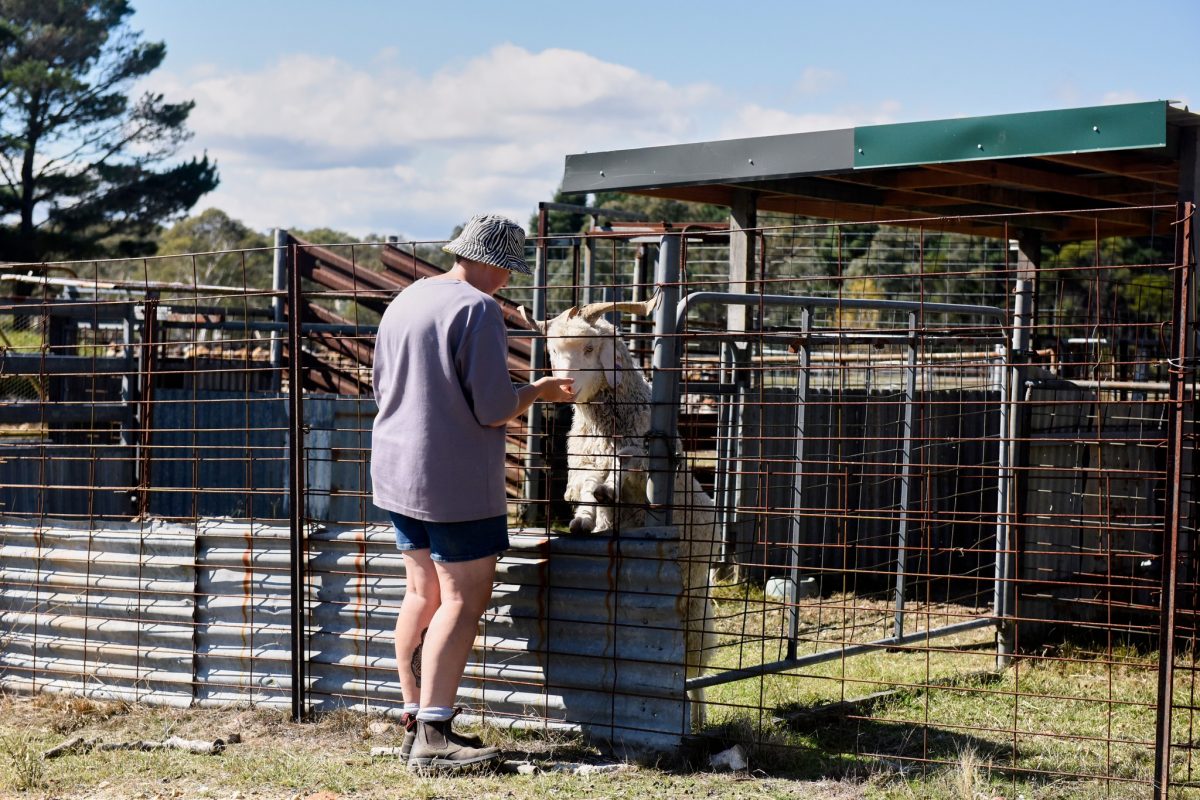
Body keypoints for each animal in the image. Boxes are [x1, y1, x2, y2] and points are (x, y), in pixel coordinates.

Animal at [520, 296, 715, 734]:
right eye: (552, 351)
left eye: (590, 348)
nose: (565, 388)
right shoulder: (582, 465)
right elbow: (581, 495)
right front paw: (582, 519)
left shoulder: (641, 462)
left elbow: (623, 474)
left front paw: (608, 488)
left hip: (694, 604)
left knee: (693, 670)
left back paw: (696, 720)